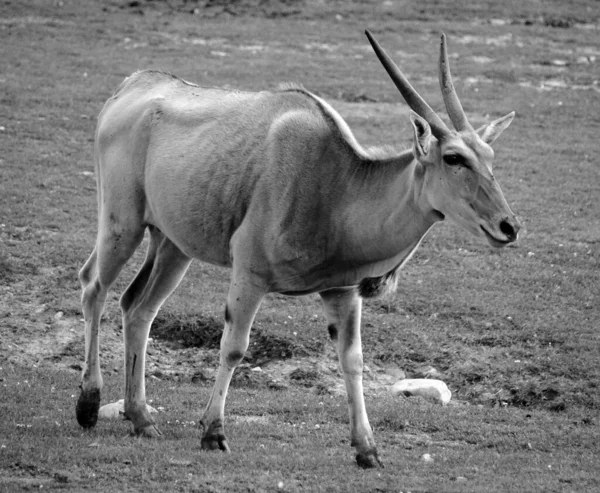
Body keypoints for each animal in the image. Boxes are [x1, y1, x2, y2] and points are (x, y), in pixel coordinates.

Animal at [77, 28, 520, 468]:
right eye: (454, 158)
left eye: (489, 156)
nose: (509, 226)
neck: (335, 185)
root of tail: (131, 86)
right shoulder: (249, 276)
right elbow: (234, 348)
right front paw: (213, 432)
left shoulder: (343, 292)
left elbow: (353, 360)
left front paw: (367, 449)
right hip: (122, 225)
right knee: (93, 287)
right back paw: (88, 404)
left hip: (172, 246)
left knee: (138, 308)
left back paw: (141, 418)